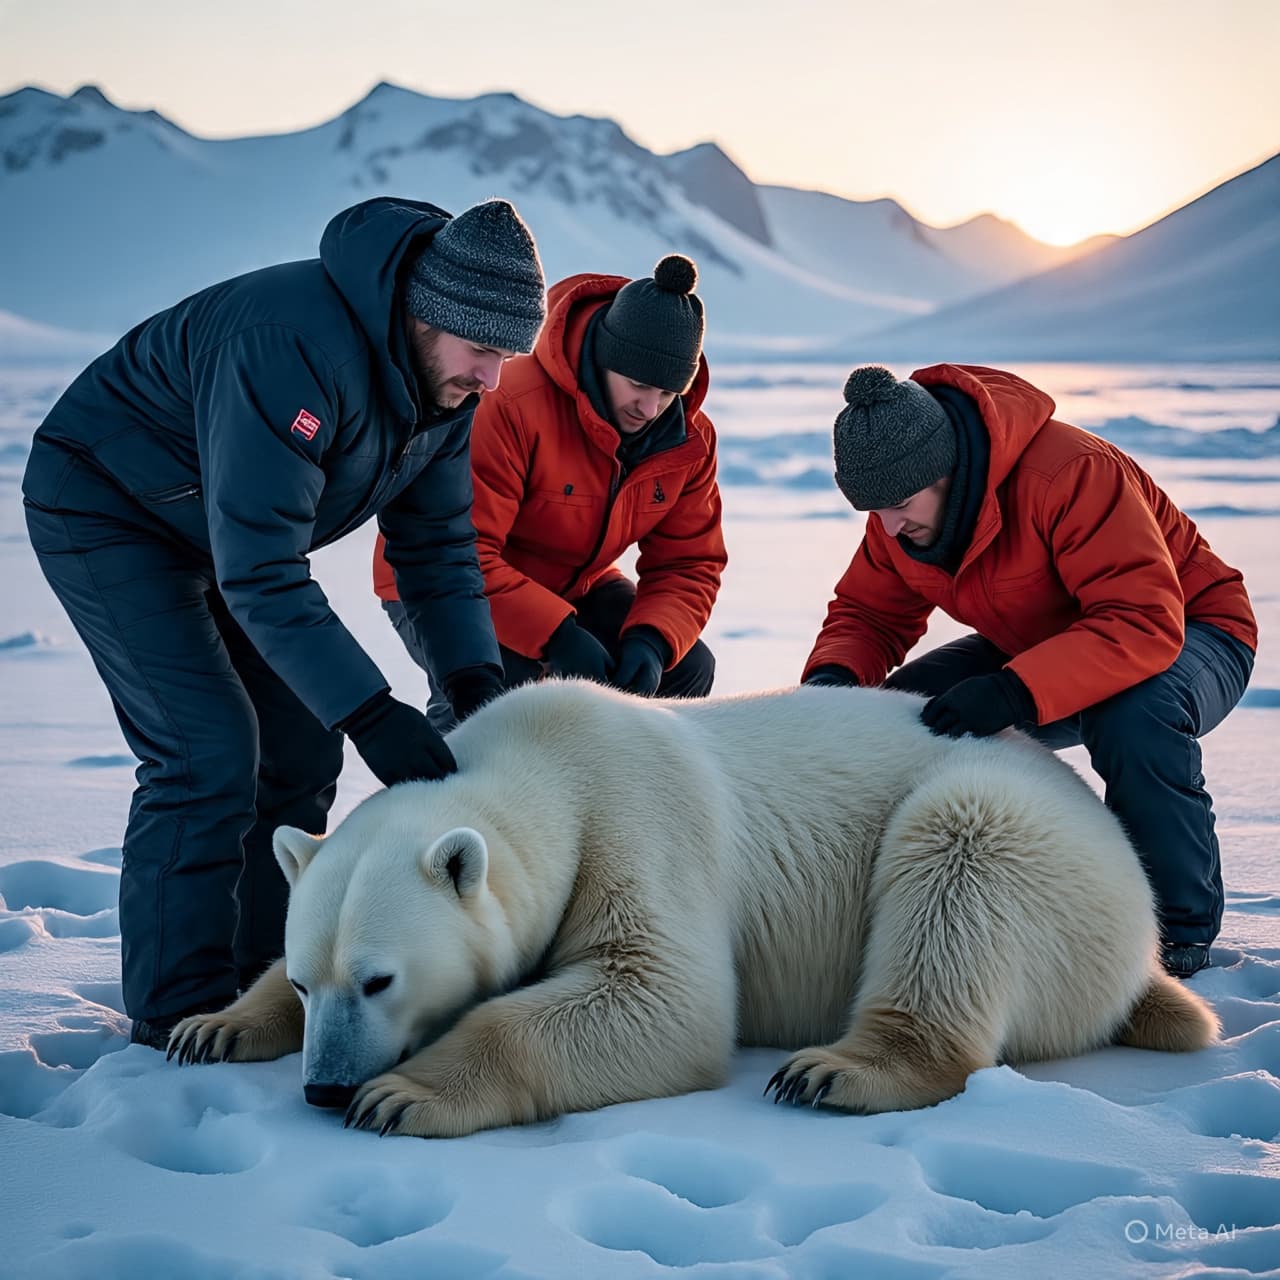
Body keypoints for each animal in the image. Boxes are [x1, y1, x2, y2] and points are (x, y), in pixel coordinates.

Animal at [168, 680, 1219, 1138]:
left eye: (380, 980)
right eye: (311, 983)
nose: (324, 1089)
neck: (547, 757)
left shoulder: (636, 823)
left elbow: (661, 997)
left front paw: (404, 1094)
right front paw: (212, 1026)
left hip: (1036, 850)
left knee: (961, 852)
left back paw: (836, 1071)